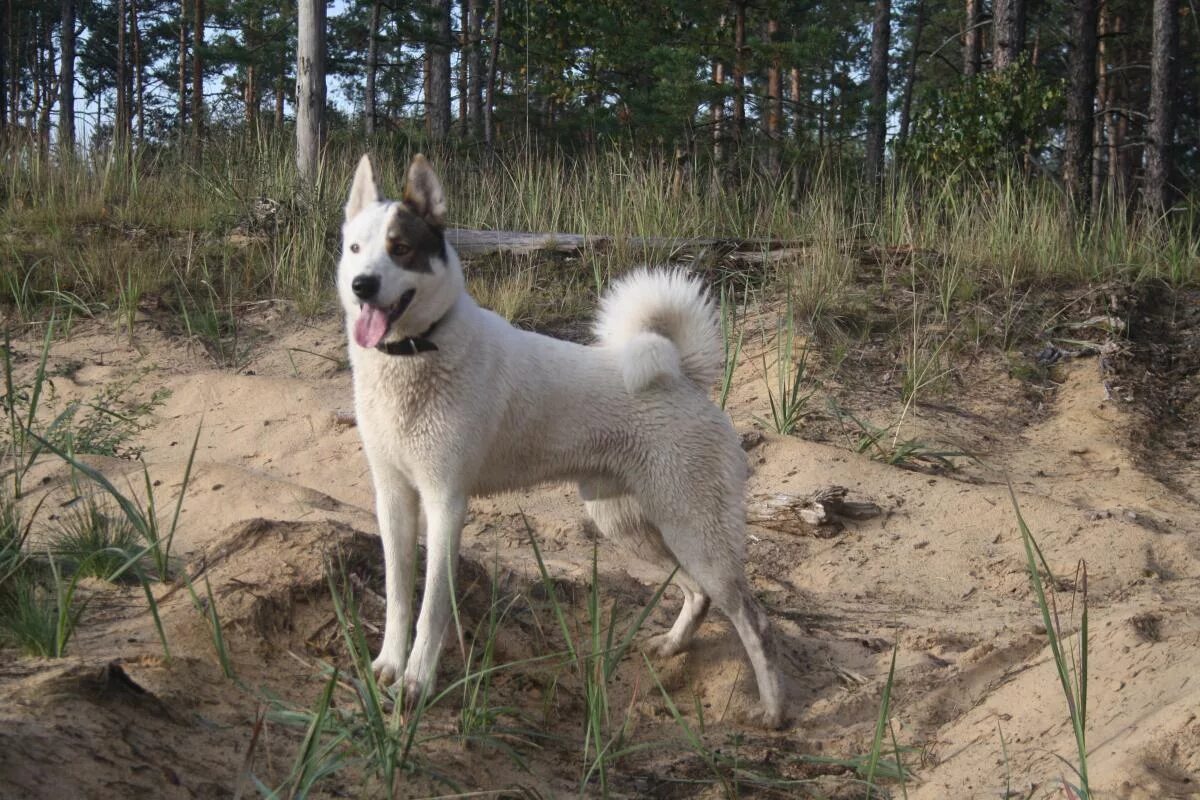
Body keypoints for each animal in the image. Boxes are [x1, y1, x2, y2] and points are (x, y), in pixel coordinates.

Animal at [340, 153, 787, 729]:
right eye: (355, 248)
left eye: (401, 248)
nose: (362, 285)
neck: (416, 353)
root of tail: (683, 374)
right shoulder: (393, 500)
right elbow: (399, 597)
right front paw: (389, 668)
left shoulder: (445, 505)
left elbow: (432, 607)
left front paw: (418, 683)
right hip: (631, 525)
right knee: (697, 595)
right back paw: (671, 648)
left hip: (695, 533)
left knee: (754, 621)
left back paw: (774, 710)